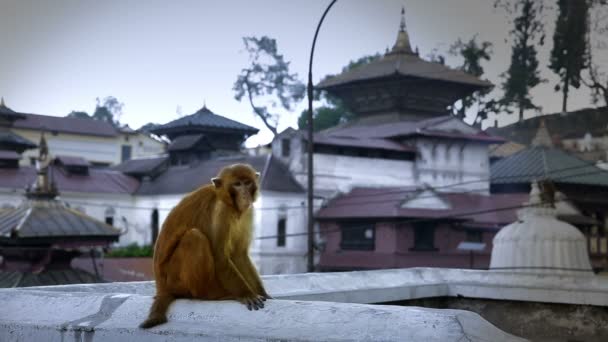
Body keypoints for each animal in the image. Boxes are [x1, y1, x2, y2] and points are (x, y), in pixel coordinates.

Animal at [140, 163, 270, 328]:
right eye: (237, 184)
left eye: (247, 183)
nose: (245, 195)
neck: (230, 204)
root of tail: (161, 287)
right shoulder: (221, 211)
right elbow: (220, 257)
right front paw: (247, 294)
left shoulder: (247, 212)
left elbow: (239, 254)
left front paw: (265, 295)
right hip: (174, 280)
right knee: (194, 237)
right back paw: (212, 295)